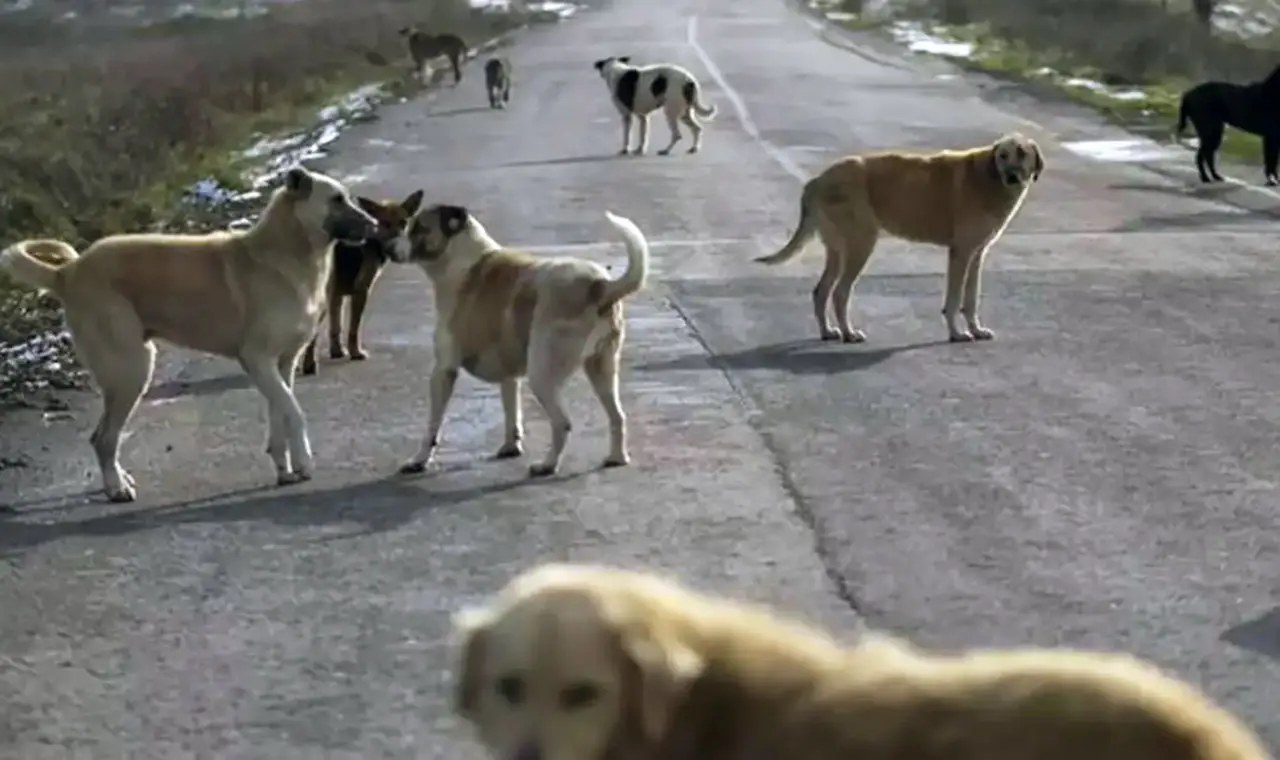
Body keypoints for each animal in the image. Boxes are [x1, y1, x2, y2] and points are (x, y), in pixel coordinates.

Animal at [0, 163, 376, 504]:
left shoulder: (281, 364)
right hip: (132, 369)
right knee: (103, 438)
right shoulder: (257, 360)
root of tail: (68, 271)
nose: (374, 226)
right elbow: (294, 412)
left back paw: (119, 481)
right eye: (337, 199)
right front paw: (305, 462)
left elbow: (280, 415)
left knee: (106, 436)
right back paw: (116, 488)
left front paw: (286, 468)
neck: (285, 251)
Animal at [299, 189, 424, 373]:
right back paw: (309, 365)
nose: (397, 249)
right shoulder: (361, 291)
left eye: (403, 223)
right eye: (385, 224)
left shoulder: (337, 296)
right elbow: (353, 328)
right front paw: (355, 352)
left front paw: (337, 351)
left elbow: (335, 327)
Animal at [386, 200, 650, 473]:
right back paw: (617, 457)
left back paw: (547, 465)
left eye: (418, 228)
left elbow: (432, 427)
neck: (461, 258)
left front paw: (419, 460)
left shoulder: (443, 371)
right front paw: (511, 446)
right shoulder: (509, 372)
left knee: (563, 422)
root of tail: (599, 285)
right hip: (602, 368)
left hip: (542, 375)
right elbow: (511, 410)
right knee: (617, 416)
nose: (388, 248)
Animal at [757, 131, 1039, 342]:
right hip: (861, 245)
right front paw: (957, 333)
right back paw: (849, 333)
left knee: (821, 291)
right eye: (1002, 156)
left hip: (838, 251)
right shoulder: (961, 253)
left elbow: (970, 299)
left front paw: (976, 329)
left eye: (1022, 153)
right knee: (839, 293)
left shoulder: (976, 254)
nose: (1011, 176)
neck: (988, 178)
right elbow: (954, 299)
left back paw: (828, 331)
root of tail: (818, 179)